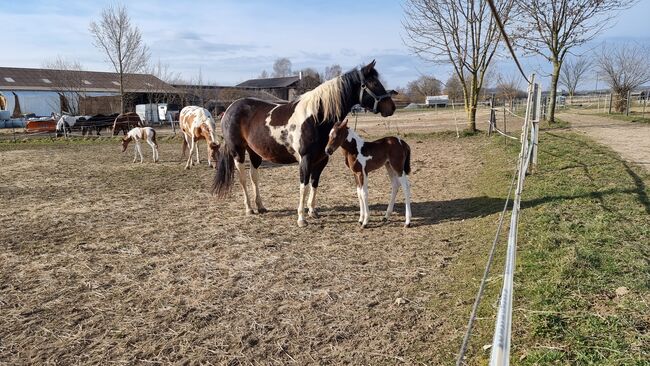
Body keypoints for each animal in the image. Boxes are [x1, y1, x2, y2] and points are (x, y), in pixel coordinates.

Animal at [213, 60, 394, 226]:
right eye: (374, 83)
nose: (391, 107)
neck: (316, 117)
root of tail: (229, 109)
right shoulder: (305, 159)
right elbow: (304, 185)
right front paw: (301, 218)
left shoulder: (321, 160)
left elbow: (314, 184)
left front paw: (312, 211)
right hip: (238, 152)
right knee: (243, 179)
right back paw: (249, 208)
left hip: (255, 152)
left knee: (254, 177)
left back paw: (261, 206)